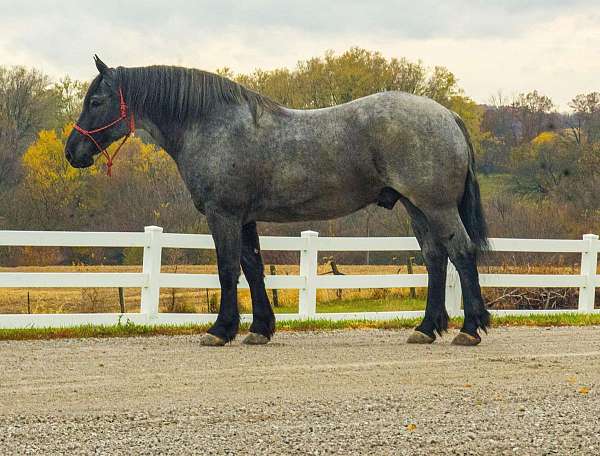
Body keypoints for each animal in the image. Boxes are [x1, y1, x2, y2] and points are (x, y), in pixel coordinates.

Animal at [65, 58, 490, 350]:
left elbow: (227, 270)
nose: (73, 152)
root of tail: (447, 115)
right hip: (416, 207)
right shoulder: (245, 218)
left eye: (97, 100)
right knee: (435, 258)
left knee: (461, 252)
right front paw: (259, 328)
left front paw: (220, 330)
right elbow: (253, 268)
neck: (212, 124)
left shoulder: (223, 215)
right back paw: (426, 328)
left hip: (436, 206)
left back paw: (470, 329)